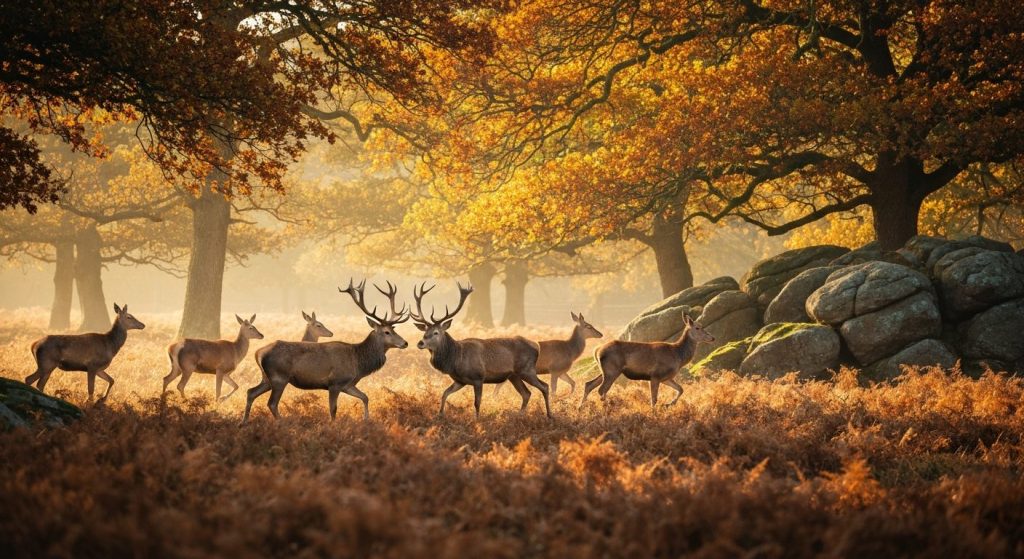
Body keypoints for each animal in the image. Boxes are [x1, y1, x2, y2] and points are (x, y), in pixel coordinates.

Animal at [243, 280, 409, 422]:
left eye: (394, 329)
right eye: (387, 332)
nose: (405, 343)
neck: (358, 362)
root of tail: (258, 353)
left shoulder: (348, 384)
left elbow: (365, 397)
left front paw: (366, 420)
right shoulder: (335, 382)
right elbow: (333, 409)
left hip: (266, 378)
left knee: (251, 392)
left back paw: (244, 422)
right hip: (279, 377)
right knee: (271, 403)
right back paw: (282, 423)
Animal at [411, 282, 551, 419]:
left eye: (436, 332)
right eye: (425, 331)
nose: (420, 343)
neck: (455, 359)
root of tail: (536, 346)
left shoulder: (478, 378)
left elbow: (477, 402)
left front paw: (477, 420)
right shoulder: (460, 381)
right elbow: (444, 393)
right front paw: (439, 415)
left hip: (527, 370)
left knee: (544, 386)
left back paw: (549, 415)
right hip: (514, 376)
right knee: (526, 393)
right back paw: (520, 416)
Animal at [581, 312, 715, 408]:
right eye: (698, 327)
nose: (712, 338)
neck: (678, 356)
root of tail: (597, 350)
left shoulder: (666, 378)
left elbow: (681, 389)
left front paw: (668, 404)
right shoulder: (656, 375)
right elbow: (654, 399)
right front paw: (655, 412)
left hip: (605, 370)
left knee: (589, 384)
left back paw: (581, 408)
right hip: (612, 370)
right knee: (601, 389)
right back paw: (606, 408)